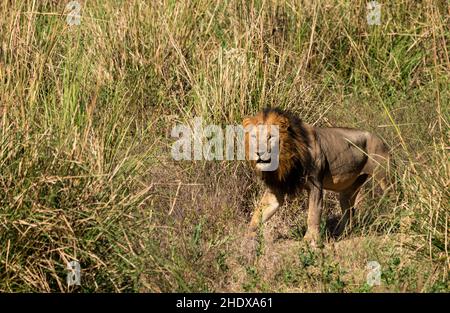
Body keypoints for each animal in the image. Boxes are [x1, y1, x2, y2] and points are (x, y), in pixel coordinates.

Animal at [243, 107, 390, 246]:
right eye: (254, 137)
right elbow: (259, 213)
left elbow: (313, 214)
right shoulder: (276, 188)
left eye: (270, 137)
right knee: (348, 212)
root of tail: (381, 139)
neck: (285, 160)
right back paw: (339, 234)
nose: (259, 152)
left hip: (384, 177)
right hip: (347, 190)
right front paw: (247, 237)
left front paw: (311, 240)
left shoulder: (315, 185)